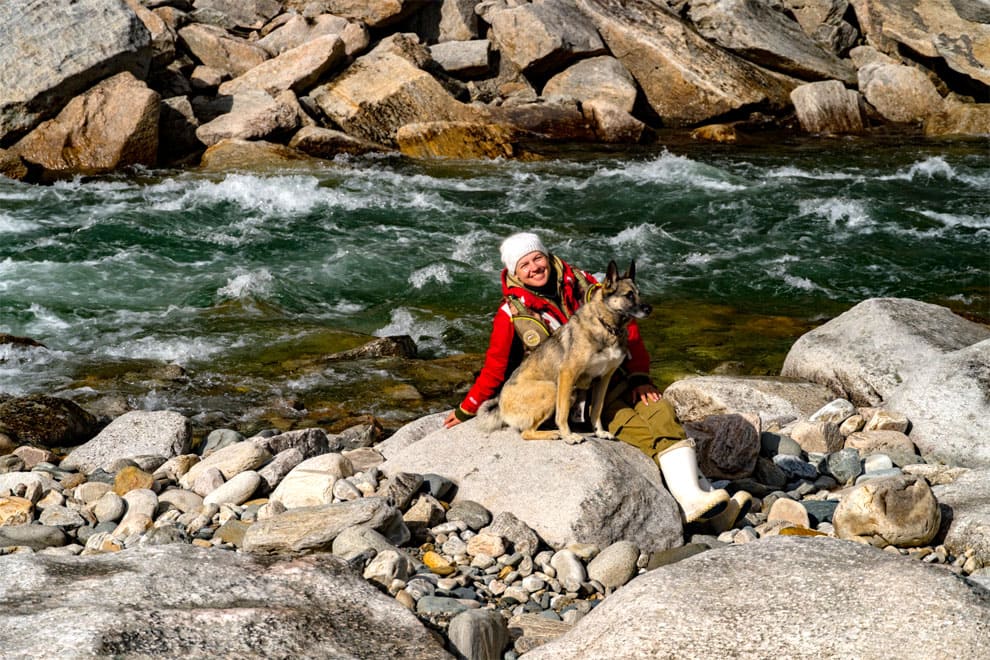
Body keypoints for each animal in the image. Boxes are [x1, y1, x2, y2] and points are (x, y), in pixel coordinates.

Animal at [478, 262, 652, 444]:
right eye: (629, 295)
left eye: (639, 294)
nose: (649, 309)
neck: (607, 327)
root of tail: (500, 405)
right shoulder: (568, 374)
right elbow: (563, 411)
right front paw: (568, 435)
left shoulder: (603, 378)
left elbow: (597, 409)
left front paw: (600, 432)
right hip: (551, 388)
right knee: (526, 432)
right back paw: (553, 433)